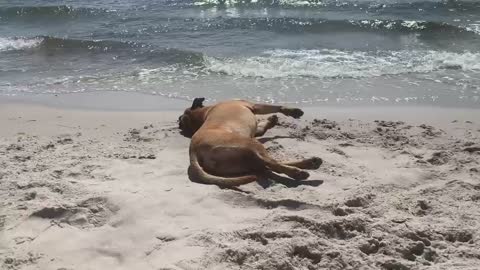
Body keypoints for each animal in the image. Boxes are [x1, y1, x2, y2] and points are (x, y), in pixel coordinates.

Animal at [179, 98, 322, 187]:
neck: (202, 114)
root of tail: (193, 150)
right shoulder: (253, 105)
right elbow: (276, 107)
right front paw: (292, 111)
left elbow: (261, 128)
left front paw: (271, 121)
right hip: (250, 144)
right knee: (272, 163)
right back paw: (298, 172)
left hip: (242, 160)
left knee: (266, 166)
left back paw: (310, 163)